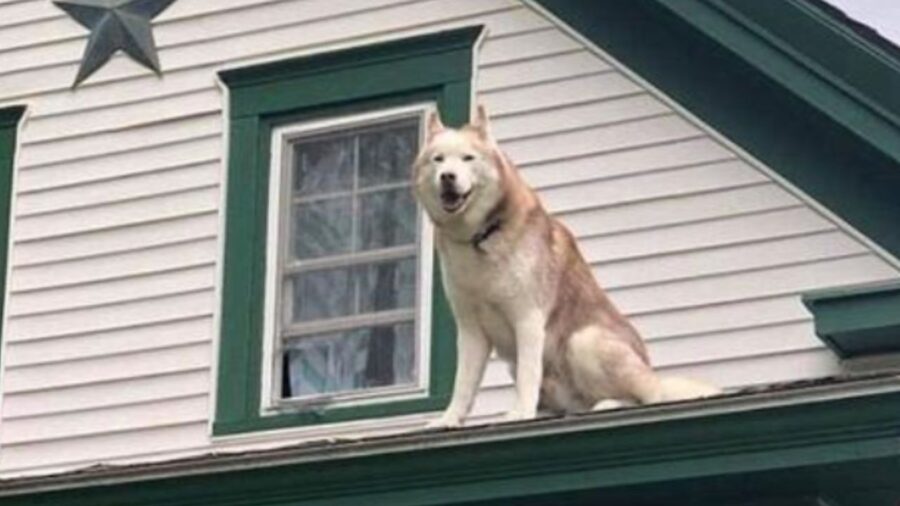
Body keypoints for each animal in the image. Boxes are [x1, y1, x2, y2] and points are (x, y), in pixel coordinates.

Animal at [414, 105, 716, 426]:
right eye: (438, 159)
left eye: (468, 158)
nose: (447, 176)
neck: (481, 237)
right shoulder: (471, 329)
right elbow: (463, 385)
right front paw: (448, 420)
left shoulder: (528, 317)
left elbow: (528, 375)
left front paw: (521, 414)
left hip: (584, 341)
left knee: (649, 397)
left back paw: (607, 405)